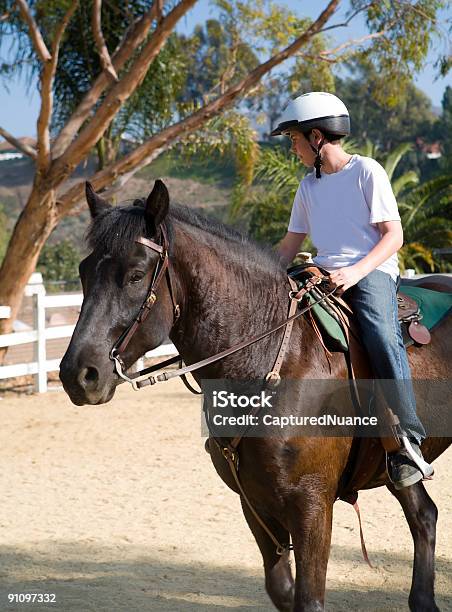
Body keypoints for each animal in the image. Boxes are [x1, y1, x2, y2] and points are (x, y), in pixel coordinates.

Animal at [61, 182, 452, 612]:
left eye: (134, 275)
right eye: (83, 272)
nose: (78, 374)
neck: (271, 357)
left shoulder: (313, 506)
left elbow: (309, 599)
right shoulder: (255, 504)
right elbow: (281, 589)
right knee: (424, 516)